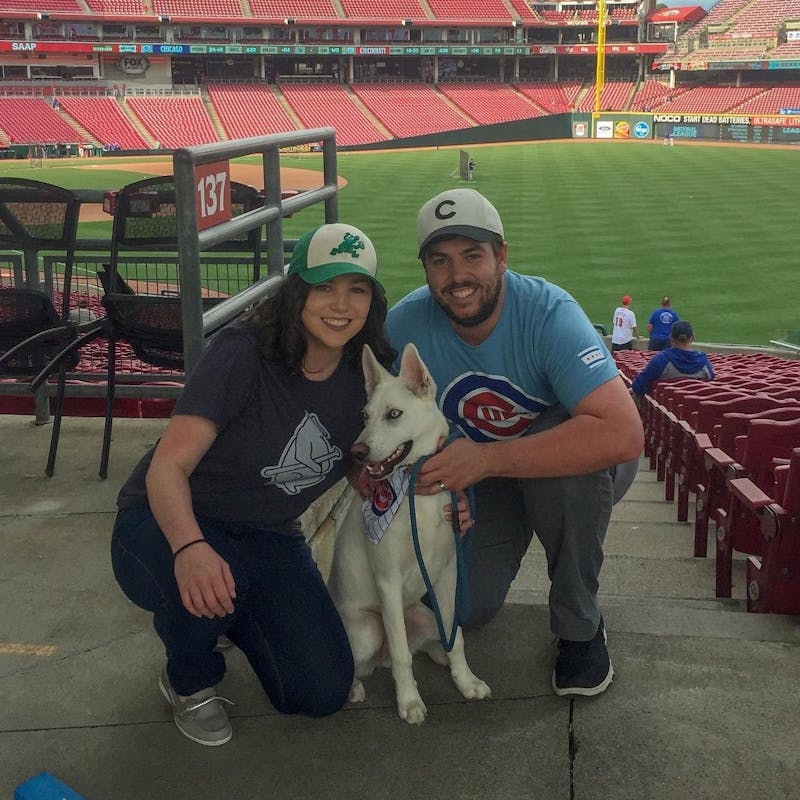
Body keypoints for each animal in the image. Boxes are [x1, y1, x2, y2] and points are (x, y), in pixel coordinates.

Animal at [326, 344, 490, 724]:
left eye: (394, 414)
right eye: (365, 415)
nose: (357, 452)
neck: (416, 490)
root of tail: (379, 658)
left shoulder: (448, 574)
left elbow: (458, 636)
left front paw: (465, 681)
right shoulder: (388, 582)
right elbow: (403, 656)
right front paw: (410, 701)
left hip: (424, 616)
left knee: (434, 639)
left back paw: (441, 656)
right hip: (368, 631)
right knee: (367, 662)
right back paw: (355, 688)